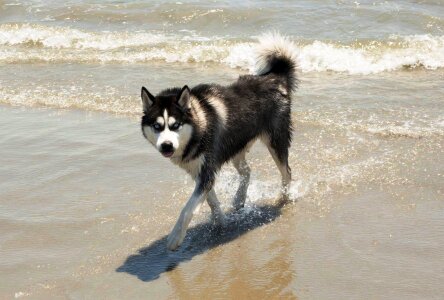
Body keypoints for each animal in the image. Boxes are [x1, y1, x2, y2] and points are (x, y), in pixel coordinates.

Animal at [140, 33, 296, 251]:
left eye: (175, 125)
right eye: (157, 126)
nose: (166, 146)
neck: (199, 126)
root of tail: (275, 77)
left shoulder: (206, 171)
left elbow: (187, 209)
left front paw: (175, 237)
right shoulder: (200, 171)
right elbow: (211, 200)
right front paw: (219, 221)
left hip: (275, 141)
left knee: (286, 172)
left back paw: (284, 197)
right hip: (236, 146)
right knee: (247, 171)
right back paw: (239, 199)